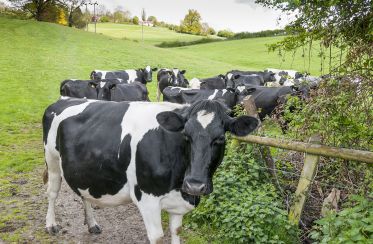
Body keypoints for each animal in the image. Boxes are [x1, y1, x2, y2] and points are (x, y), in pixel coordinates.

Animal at [42, 98, 258, 243]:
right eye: (186, 135)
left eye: (220, 138)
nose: (195, 185)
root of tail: (62, 100)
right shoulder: (147, 199)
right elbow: (157, 237)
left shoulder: (178, 202)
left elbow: (176, 232)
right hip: (51, 160)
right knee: (52, 193)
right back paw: (51, 225)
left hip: (84, 168)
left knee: (83, 193)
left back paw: (92, 224)